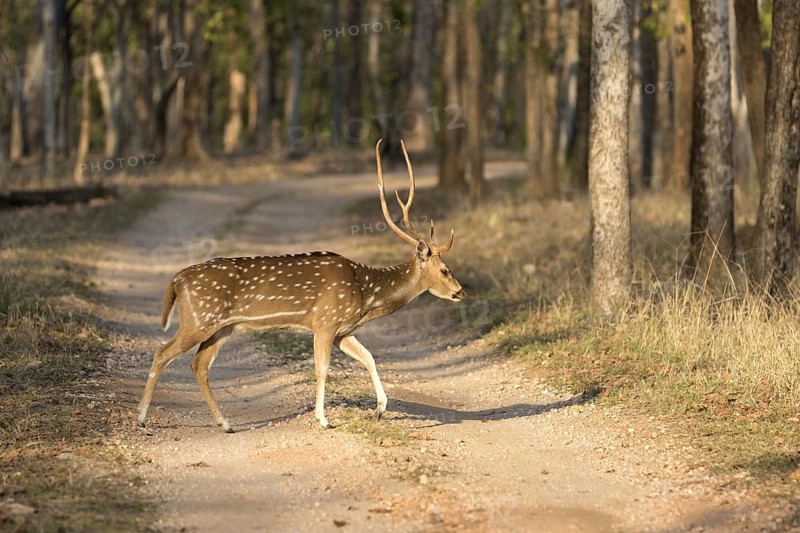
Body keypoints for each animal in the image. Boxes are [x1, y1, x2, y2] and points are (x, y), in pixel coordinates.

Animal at [137, 140, 466, 432]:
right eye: (445, 270)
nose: (461, 292)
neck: (365, 293)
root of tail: (177, 279)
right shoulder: (326, 322)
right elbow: (322, 369)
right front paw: (323, 419)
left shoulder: (342, 331)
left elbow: (369, 358)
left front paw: (380, 410)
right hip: (200, 319)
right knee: (163, 352)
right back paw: (141, 419)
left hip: (221, 327)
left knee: (199, 364)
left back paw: (226, 424)